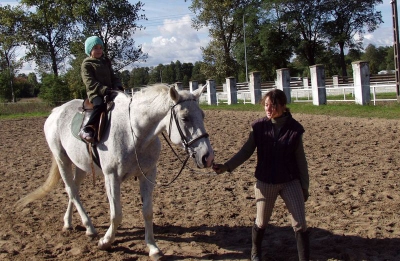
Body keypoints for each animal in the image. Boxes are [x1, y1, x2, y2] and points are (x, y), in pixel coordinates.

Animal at [16, 84, 216, 258]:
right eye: (185, 118)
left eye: (203, 115)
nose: (207, 157)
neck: (134, 133)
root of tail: (56, 111)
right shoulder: (111, 178)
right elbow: (116, 214)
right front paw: (106, 242)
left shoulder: (148, 175)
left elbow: (147, 211)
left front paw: (153, 248)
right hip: (62, 159)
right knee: (71, 190)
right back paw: (89, 227)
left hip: (81, 165)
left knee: (74, 190)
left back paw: (68, 223)